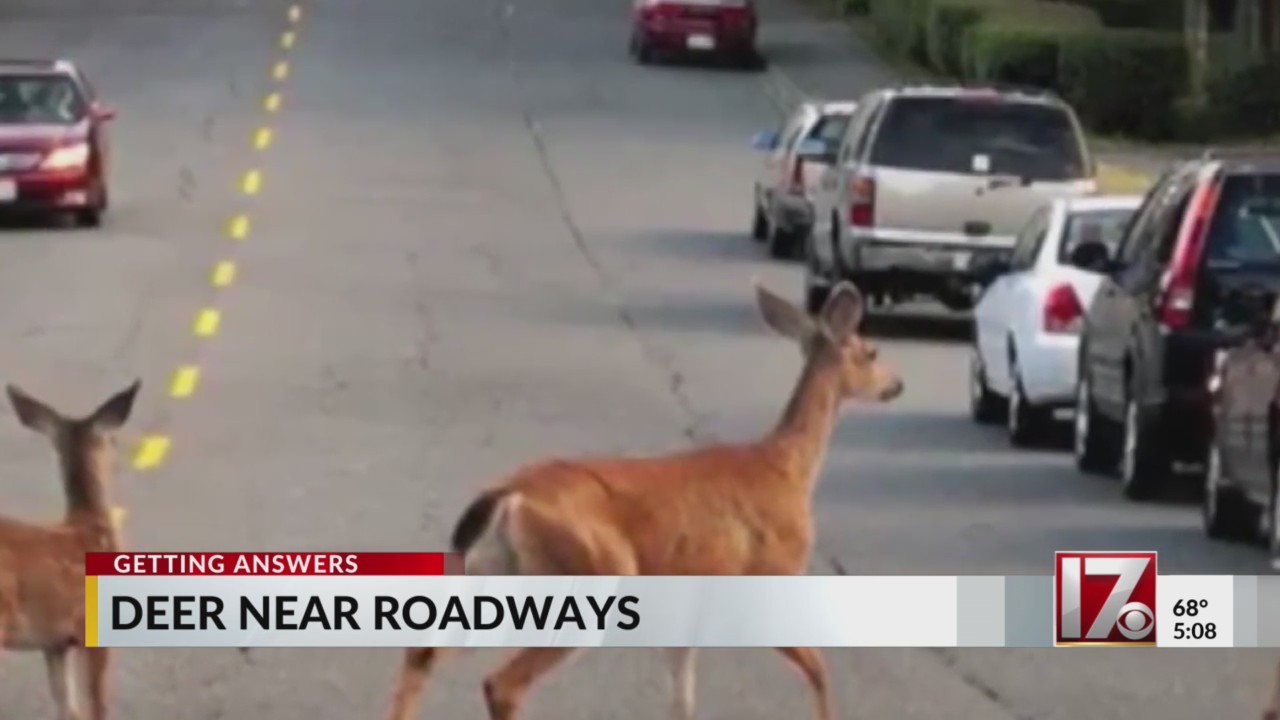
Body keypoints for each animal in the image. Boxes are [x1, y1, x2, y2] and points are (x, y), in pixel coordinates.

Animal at [0, 379, 141, 720]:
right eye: (112, 439)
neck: (88, 524)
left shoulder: (55, 641)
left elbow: (68, 706)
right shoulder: (95, 627)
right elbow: (98, 704)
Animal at [385, 279, 903, 720]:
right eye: (871, 351)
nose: (897, 384)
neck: (787, 467)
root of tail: (504, 498)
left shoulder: (690, 603)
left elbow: (683, 698)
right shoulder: (771, 573)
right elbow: (820, 669)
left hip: (492, 578)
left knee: (422, 653)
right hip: (591, 574)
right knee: (502, 683)